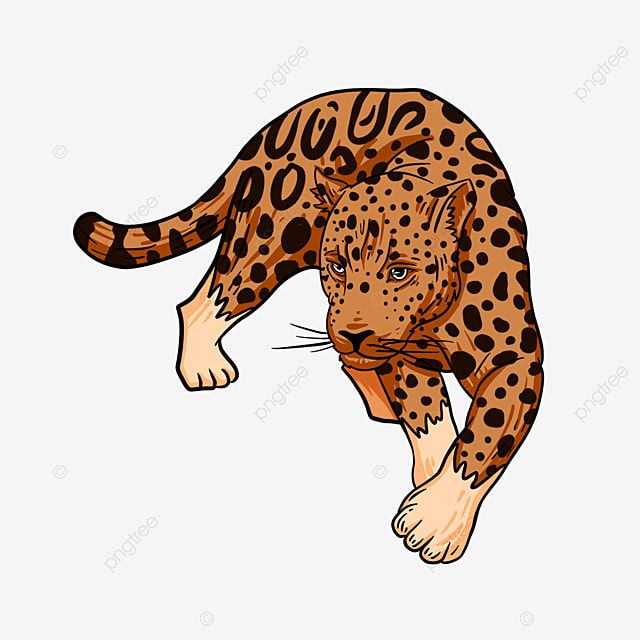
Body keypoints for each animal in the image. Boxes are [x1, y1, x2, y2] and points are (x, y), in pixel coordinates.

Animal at [74, 88, 544, 564]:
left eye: (400, 272)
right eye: (336, 265)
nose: (355, 333)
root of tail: (278, 123)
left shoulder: (515, 361)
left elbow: (483, 436)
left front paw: (433, 517)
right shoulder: (404, 354)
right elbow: (429, 414)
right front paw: (431, 497)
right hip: (268, 242)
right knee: (208, 299)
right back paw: (205, 366)